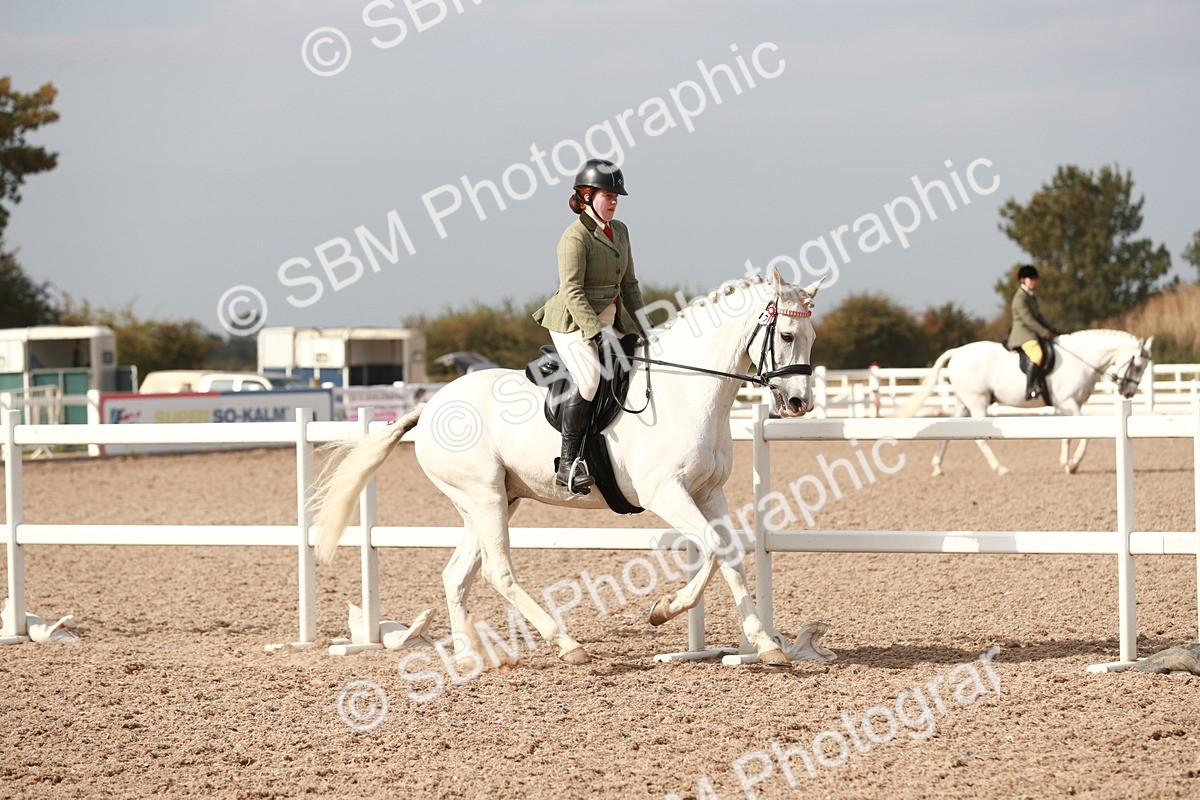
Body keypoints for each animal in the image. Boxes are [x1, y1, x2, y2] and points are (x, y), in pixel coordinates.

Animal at [312, 269, 822, 666]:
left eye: (812, 338)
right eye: (787, 336)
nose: (799, 403)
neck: (687, 391)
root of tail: (433, 403)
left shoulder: (707, 493)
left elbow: (730, 553)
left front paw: (765, 644)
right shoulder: (666, 493)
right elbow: (714, 549)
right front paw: (663, 609)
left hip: (493, 501)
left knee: (457, 575)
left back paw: (468, 657)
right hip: (484, 496)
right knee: (498, 572)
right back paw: (566, 643)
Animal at [897, 329, 1153, 476]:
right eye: (1137, 365)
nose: (1128, 392)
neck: (1080, 360)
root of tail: (957, 352)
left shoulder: (1066, 407)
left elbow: (1068, 435)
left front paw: (1066, 463)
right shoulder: (1069, 403)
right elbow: (1084, 435)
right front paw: (1074, 463)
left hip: (964, 402)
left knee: (950, 432)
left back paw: (937, 467)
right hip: (978, 402)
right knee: (980, 438)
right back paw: (1000, 468)